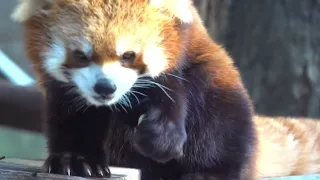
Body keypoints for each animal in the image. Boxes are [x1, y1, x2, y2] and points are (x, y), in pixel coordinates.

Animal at [10, 0, 320, 180]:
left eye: (128, 55)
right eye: (80, 55)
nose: (106, 87)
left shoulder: (183, 50)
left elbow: (172, 92)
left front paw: (161, 136)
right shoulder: (66, 94)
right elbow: (73, 118)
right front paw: (76, 160)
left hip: (222, 90)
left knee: (223, 128)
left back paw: (210, 172)